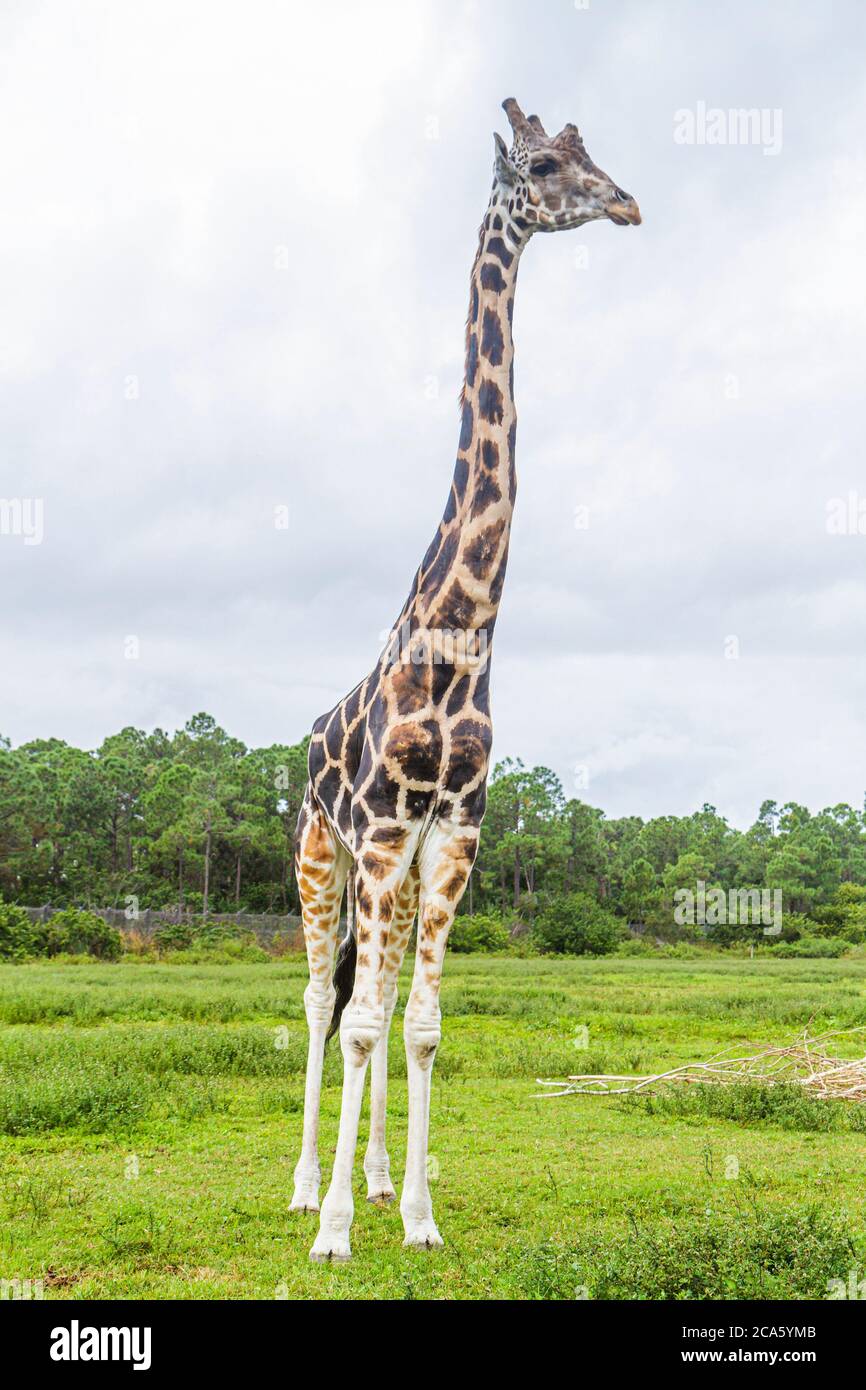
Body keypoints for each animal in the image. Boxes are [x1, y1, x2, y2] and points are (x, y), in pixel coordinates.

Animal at [291, 98, 641, 1261]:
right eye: (543, 165)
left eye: (588, 154)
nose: (625, 202)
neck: (461, 634)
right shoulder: (381, 830)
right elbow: (357, 1021)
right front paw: (336, 1232)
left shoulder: (454, 831)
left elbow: (422, 1025)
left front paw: (416, 1215)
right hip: (319, 858)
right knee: (319, 1001)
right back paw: (305, 1188)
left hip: (388, 879)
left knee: (380, 991)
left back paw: (374, 1178)